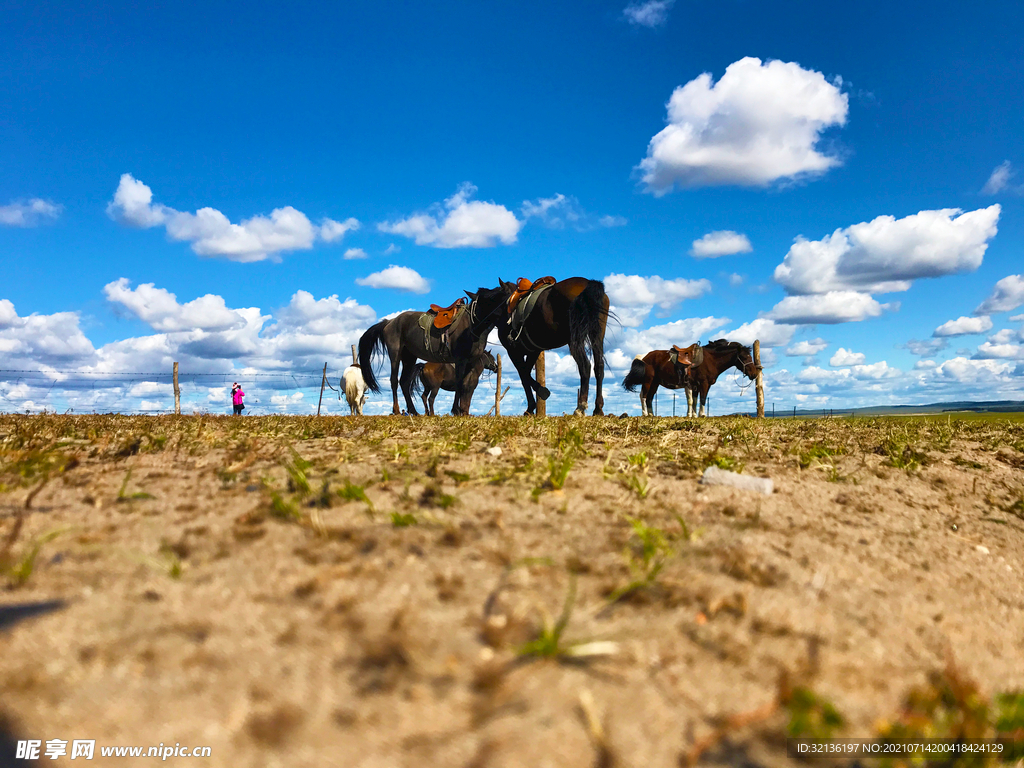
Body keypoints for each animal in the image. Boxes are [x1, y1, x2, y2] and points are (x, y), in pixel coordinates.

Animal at [493, 280, 606, 417]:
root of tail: (588, 282)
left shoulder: (514, 352)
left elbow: (524, 376)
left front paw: (534, 402)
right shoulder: (533, 351)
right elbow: (526, 373)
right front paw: (534, 402)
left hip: (575, 340)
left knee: (585, 366)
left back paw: (580, 407)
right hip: (597, 335)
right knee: (599, 366)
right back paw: (598, 409)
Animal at [622, 339, 761, 417]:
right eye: (745, 357)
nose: (754, 373)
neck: (710, 359)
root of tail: (643, 357)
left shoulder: (695, 386)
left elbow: (693, 400)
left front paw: (693, 415)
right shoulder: (703, 384)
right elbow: (701, 399)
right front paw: (701, 415)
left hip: (655, 383)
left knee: (650, 398)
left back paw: (651, 415)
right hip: (648, 381)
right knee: (643, 396)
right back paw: (645, 414)